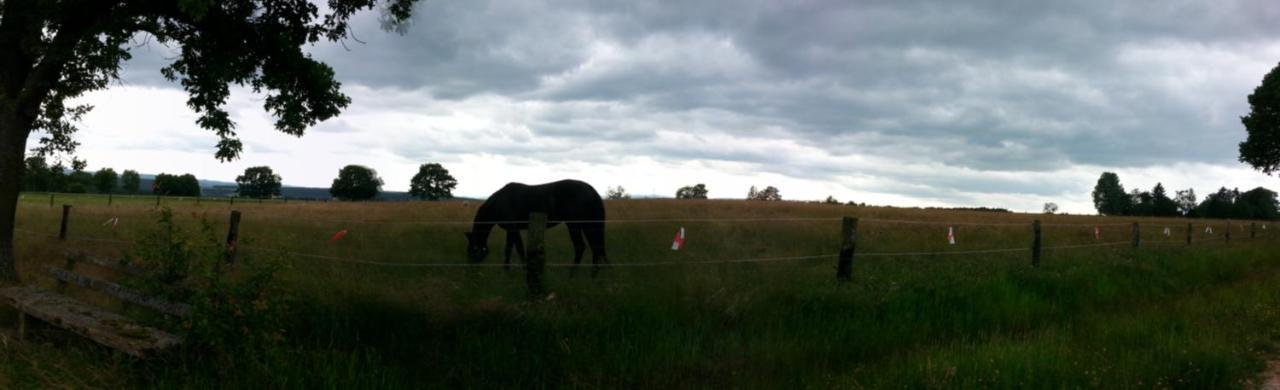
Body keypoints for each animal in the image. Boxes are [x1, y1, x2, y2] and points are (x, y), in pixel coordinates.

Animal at [465, 180, 609, 273]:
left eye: (472, 250)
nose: (471, 269)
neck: (499, 203)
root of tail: (591, 190)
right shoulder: (511, 230)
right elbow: (511, 249)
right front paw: (508, 270)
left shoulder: (513, 229)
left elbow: (517, 249)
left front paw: (520, 269)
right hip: (587, 225)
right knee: (596, 247)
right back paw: (593, 273)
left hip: (575, 225)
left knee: (581, 247)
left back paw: (573, 273)